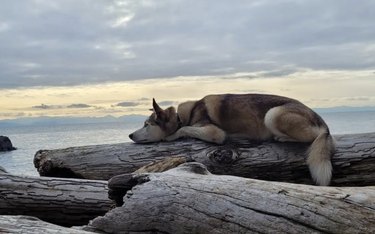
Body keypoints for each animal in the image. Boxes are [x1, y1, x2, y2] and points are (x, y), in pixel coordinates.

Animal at [129, 93, 334, 186]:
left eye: (147, 124)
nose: (130, 135)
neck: (181, 117)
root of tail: (323, 123)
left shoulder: (214, 132)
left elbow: (185, 129)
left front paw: (171, 135)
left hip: (273, 114)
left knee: (312, 136)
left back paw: (281, 137)